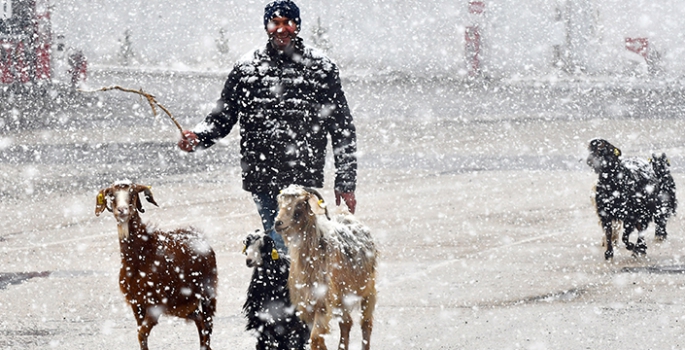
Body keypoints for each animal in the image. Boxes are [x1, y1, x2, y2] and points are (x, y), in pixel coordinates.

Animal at [95, 182, 216, 348]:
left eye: (132, 193)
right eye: (111, 195)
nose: (122, 210)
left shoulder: (155, 305)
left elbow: (142, 333)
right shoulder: (137, 304)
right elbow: (141, 335)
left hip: (208, 292)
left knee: (207, 323)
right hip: (182, 303)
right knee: (200, 320)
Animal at [274, 186, 380, 350]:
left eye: (299, 204)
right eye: (280, 202)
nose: (278, 222)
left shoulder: (323, 303)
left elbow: (315, 338)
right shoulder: (308, 306)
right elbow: (317, 340)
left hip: (368, 289)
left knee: (366, 324)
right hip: (342, 297)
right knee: (346, 323)